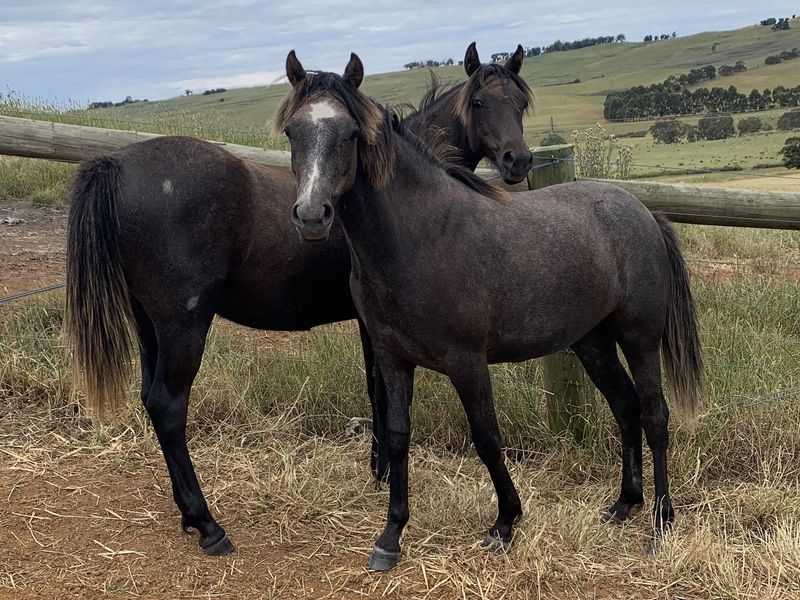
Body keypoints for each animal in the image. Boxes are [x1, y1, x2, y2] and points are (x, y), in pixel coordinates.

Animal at [64, 43, 535, 557]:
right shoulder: (373, 324)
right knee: (169, 407)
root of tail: (116, 164)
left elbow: (375, 390)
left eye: (520, 102)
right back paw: (209, 526)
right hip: (181, 325)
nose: (517, 161)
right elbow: (379, 391)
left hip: (149, 325)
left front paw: (378, 470)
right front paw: (382, 473)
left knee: (150, 401)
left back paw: (188, 515)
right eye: (479, 103)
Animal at [276, 53, 703, 571]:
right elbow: (397, 436)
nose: (311, 216)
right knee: (625, 407)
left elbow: (487, 439)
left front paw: (505, 523)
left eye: (352, 134)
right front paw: (390, 535)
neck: (419, 238)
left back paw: (661, 522)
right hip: (593, 342)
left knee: (655, 415)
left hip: (639, 338)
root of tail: (643, 212)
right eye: (292, 132)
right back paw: (624, 504)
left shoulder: (467, 363)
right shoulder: (393, 358)